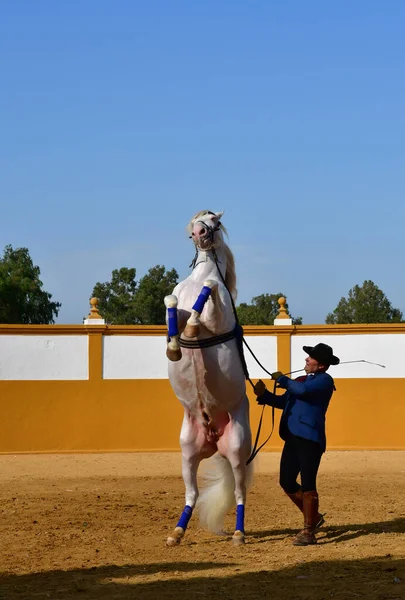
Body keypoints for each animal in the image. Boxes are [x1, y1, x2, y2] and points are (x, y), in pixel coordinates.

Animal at [163, 211, 251, 548]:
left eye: (213, 220)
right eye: (195, 221)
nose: (199, 233)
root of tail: (214, 436)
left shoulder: (216, 315)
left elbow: (210, 289)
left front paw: (189, 331)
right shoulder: (176, 302)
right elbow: (171, 301)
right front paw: (174, 347)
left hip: (237, 451)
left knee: (239, 492)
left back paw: (239, 533)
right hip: (188, 451)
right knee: (192, 494)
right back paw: (176, 533)